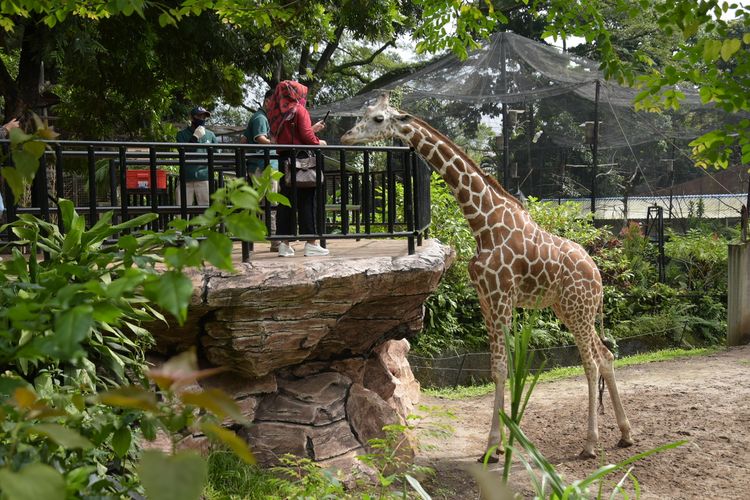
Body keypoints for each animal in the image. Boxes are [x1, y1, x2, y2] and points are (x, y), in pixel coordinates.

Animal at [342, 93, 636, 460]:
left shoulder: (500, 297)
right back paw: (625, 434)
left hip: (577, 309)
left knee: (592, 362)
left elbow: (500, 368)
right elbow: (500, 366)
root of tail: (597, 274)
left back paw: (590, 444)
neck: (483, 222)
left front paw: (493, 447)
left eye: (379, 119)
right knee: (606, 356)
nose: (346, 137)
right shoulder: (486, 298)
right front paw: (502, 444)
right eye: (363, 113)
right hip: (568, 309)